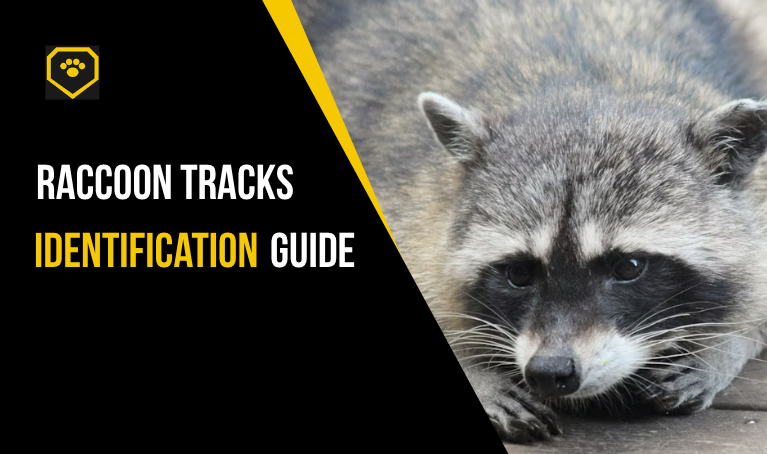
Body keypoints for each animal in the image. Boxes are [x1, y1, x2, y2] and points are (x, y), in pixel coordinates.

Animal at [297, 0, 767, 442]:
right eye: (518, 273)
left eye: (629, 267)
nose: (550, 372)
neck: (588, 85)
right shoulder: (415, 202)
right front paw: (475, 371)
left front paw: (722, 345)